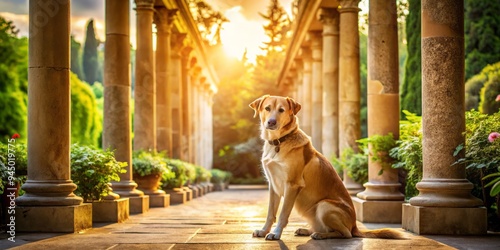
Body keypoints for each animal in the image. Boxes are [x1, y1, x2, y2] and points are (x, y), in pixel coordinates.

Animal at [248, 94, 404, 239]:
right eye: (267, 108)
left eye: (281, 110)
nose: (271, 122)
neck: (279, 141)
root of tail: (355, 226)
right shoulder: (273, 185)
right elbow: (270, 213)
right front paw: (263, 231)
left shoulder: (292, 184)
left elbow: (283, 214)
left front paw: (276, 233)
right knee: (325, 228)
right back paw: (307, 230)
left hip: (325, 205)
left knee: (345, 234)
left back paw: (320, 235)